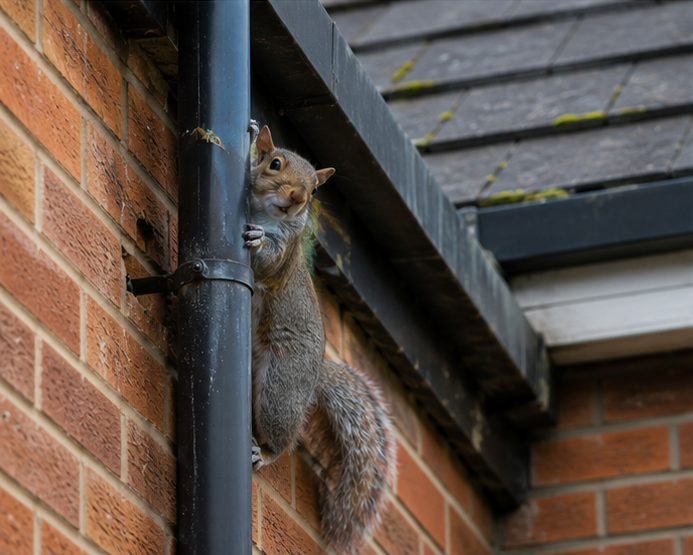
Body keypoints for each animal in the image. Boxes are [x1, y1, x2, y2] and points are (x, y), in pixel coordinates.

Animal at [243, 125, 397, 552]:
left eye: (313, 190)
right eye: (275, 163)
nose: (296, 198)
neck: (263, 214)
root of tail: (313, 378)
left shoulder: (284, 257)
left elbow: (269, 263)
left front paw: (258, 240)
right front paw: (251, 137)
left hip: (280, 388)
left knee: (284, 438)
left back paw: (263, 452)